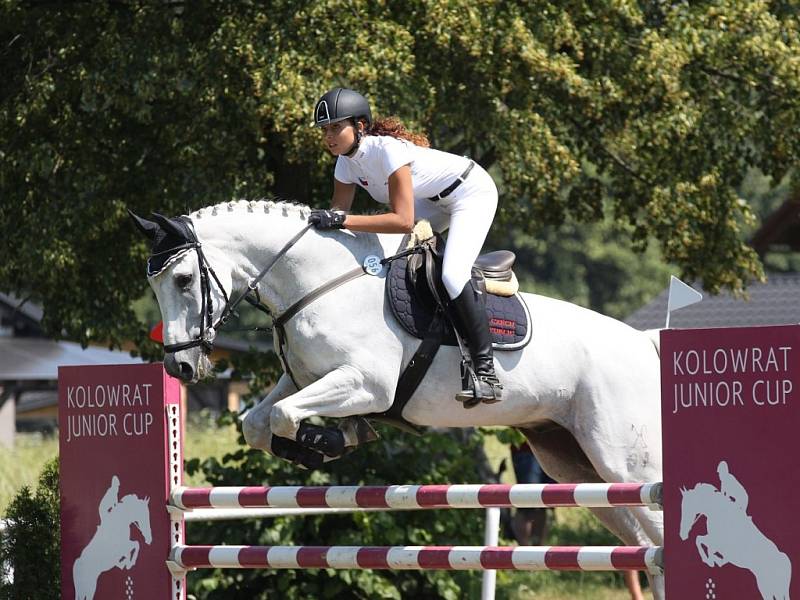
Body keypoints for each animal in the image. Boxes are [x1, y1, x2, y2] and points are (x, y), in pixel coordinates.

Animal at [131, 203, 664, 600]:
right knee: (644, 544)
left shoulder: (367, 383)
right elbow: (258, 422)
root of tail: (645, 343)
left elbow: (284, 415)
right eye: (153, 284)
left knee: (656, 531)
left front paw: (328, 440)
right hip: (571, 462)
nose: (179, 368)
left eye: (182, 280)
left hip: (623, 461)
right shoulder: (304, 378)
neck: (317, 282)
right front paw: (324, 442)